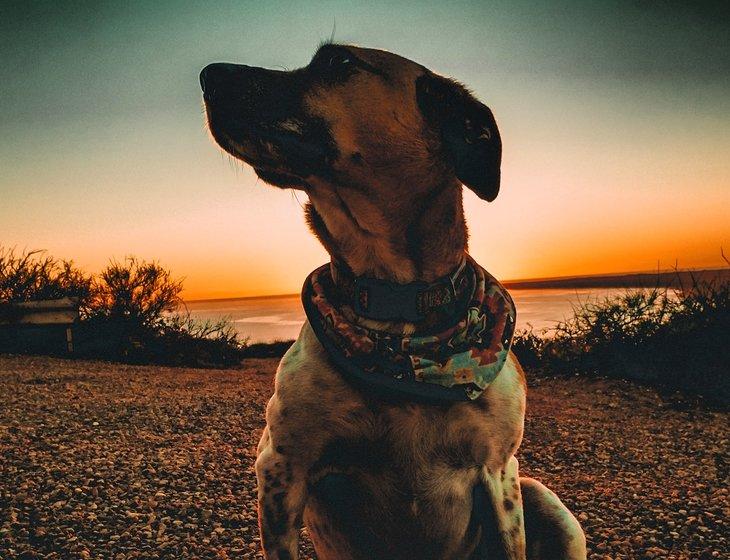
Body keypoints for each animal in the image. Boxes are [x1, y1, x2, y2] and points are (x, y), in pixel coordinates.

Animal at [200, 43, 584, 560]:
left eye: (339, 63)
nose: (208, 74)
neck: (401, 317)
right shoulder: (281, 468)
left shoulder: (500, 471)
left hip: (543, 499)